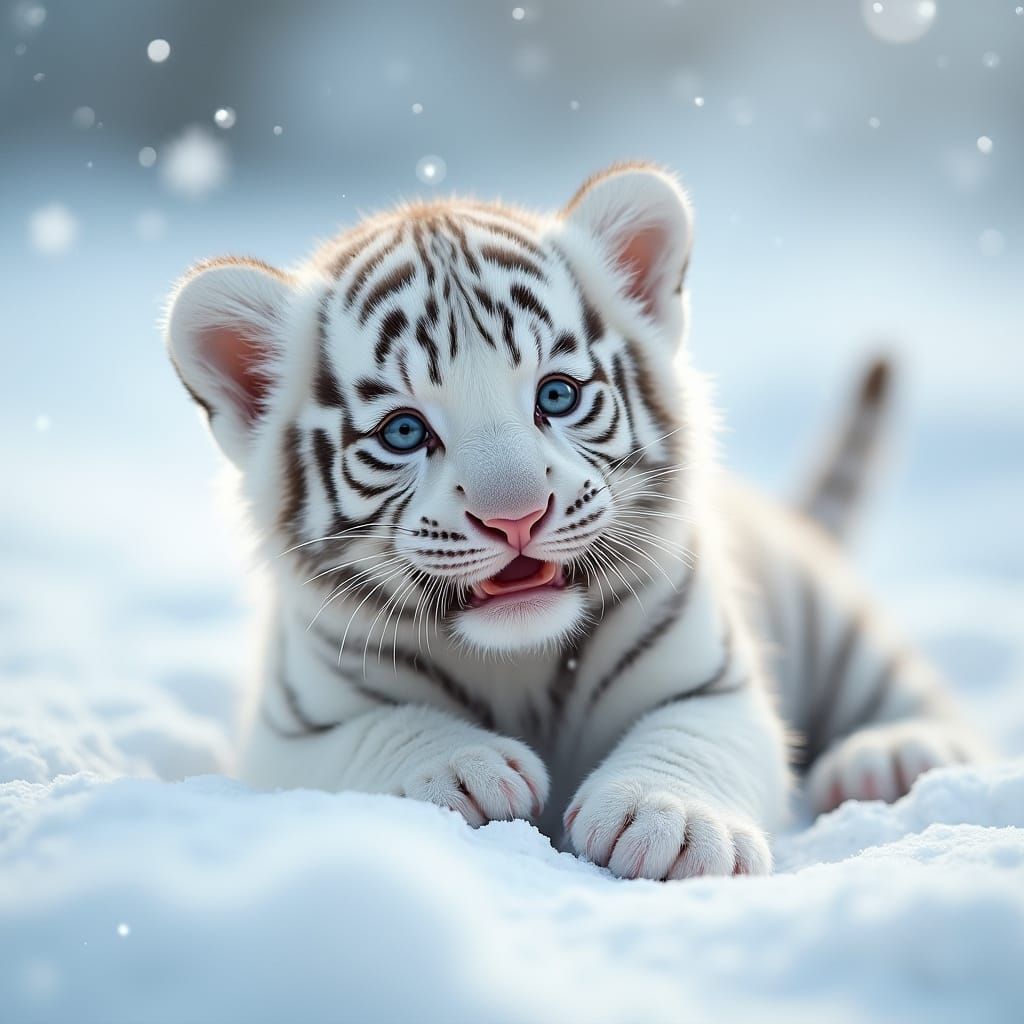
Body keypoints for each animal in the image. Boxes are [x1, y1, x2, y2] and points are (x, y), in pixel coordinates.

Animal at [164, 163, 986, 880]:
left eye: (555, 395)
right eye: (403, 432)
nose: (516, 515)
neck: (522, 665)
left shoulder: (713, 677)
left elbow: (691, 733)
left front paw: (668, 821)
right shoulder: (293, 729)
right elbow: (378, 732)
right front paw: (460, 768)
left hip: (830, 616)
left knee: (913, 691)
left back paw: (892, 756)